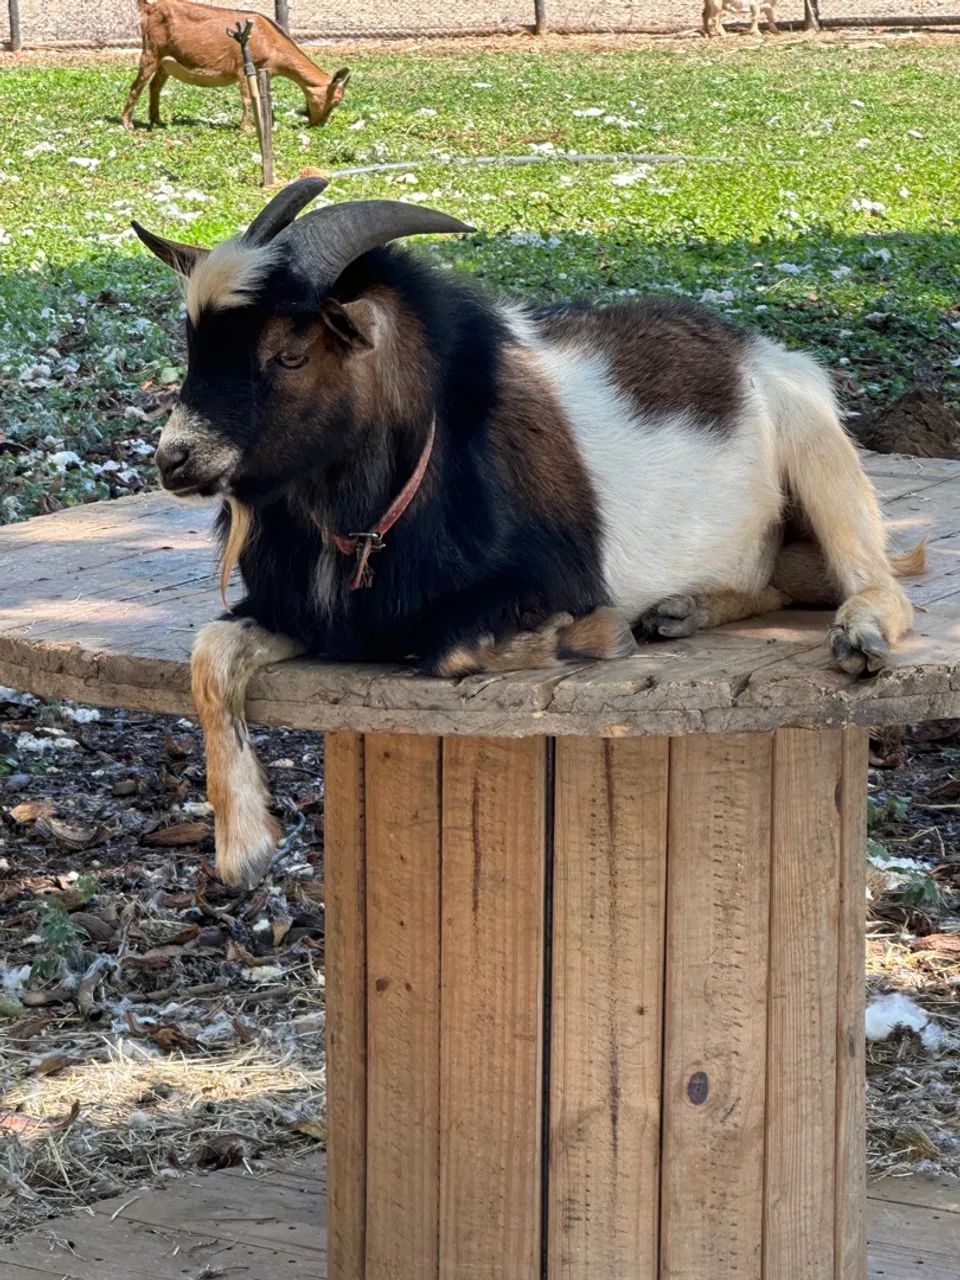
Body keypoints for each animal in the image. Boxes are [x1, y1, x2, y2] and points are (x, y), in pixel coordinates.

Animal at [123, 0, 350, 132]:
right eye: (336, 100)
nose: (319, 124)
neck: (270, 41)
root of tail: (149, 8)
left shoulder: (264, 72)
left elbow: (265, 98)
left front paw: (270, 123)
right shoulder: (243, 67)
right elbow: (247, 99)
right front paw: (246, 128)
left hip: (165, 62)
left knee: (155, 87)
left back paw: (157, 121)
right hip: (152, 51)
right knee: (137, 86)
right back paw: (128, 123)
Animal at [133, 177, 919, 888]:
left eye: (290, 353)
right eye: (195, 346)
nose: (175, 459)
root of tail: (757, 350)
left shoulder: (550, 580)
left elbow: (448, 645)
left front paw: (583, 635)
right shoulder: (307, 613)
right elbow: (210, 655)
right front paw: (244, 846)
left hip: (818, 450)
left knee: (874, 581)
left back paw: (853, 636)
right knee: (774, 579)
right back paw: (683, 609)